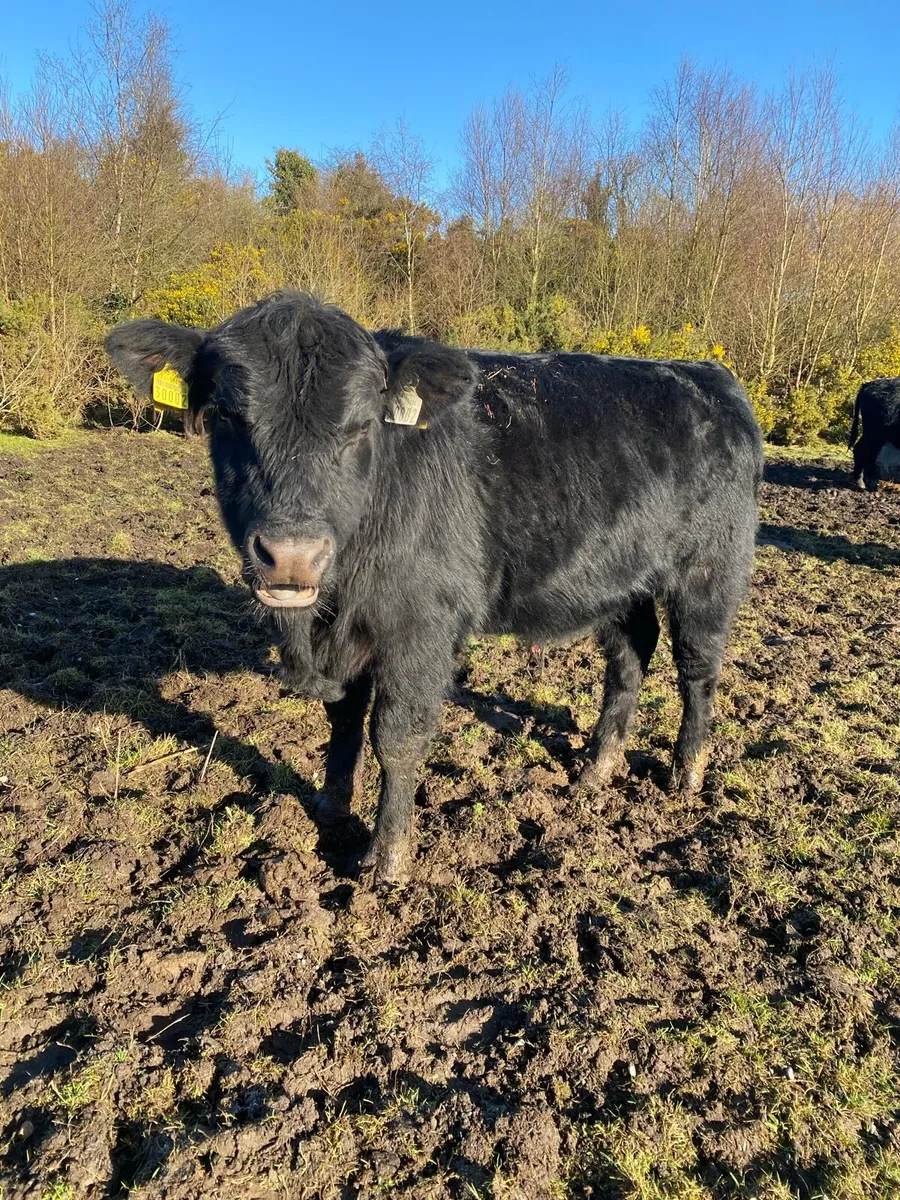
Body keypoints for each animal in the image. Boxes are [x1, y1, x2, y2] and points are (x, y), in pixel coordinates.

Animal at [106, 291, 763, 886]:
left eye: (359, 425)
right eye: (225, 415)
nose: (292, 556)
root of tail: (707, 376)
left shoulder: (419, 625)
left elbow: (395, 736)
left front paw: (386, 861)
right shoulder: (347, 631)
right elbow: (343, 719)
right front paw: (331, 809)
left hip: (710, 569)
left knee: (697, 666)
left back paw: (686, 774)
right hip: (620, 579)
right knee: (630, 654)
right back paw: (597, 769)